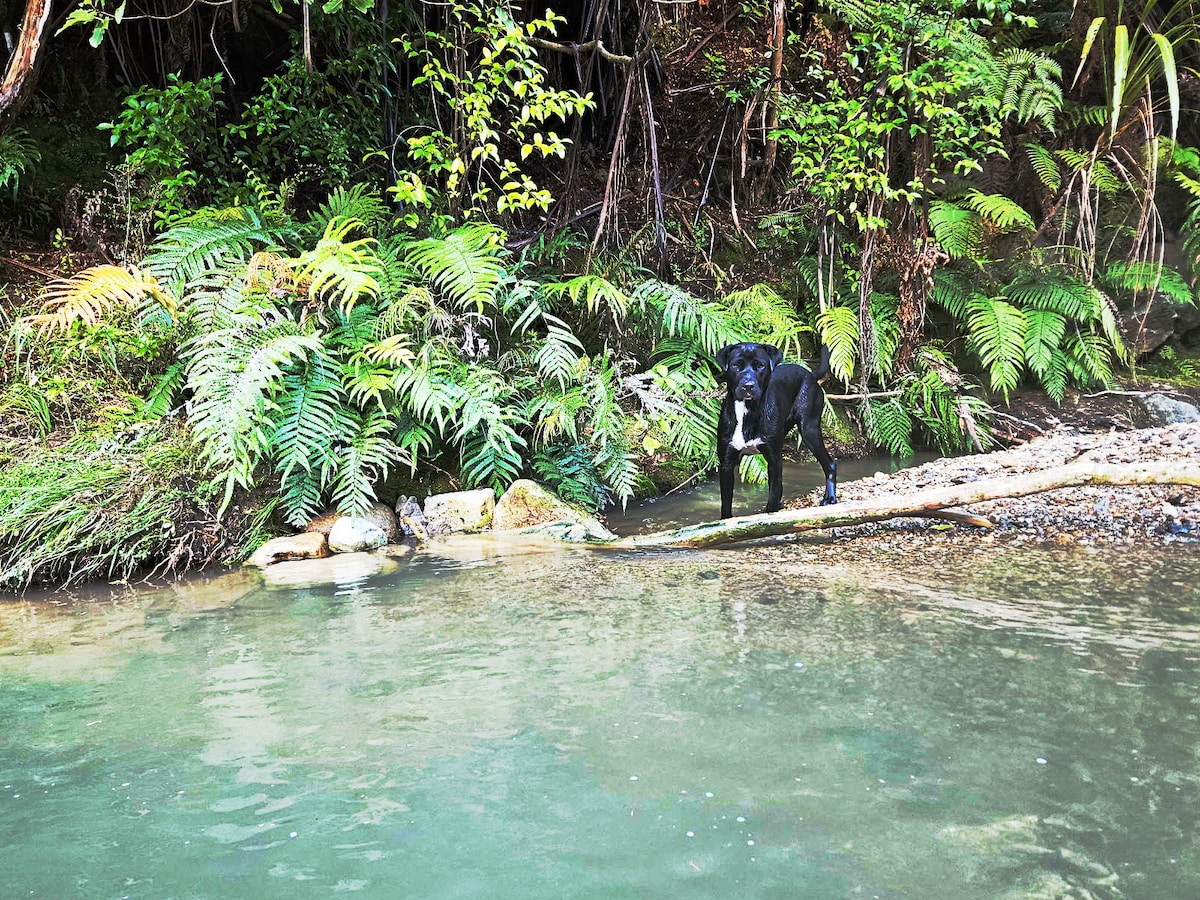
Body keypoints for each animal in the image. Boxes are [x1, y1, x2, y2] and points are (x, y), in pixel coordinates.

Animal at [715, 340, 840, 518]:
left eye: (760, 365)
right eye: (735, 365)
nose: (748, 386)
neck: (748, 412)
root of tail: (809, 374)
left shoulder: (774, 460)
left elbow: (772, 498)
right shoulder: (726, 463)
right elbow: (726, 506)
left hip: (809, 430)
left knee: (830, 464)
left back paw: (830, 497)